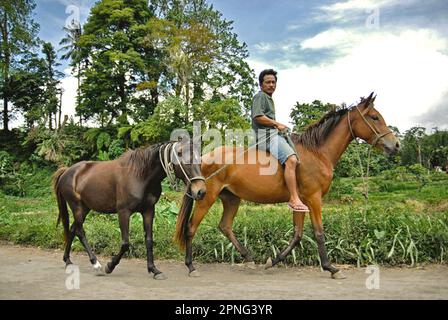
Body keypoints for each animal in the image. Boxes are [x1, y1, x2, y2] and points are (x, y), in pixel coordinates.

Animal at [53, 139, 206, 278]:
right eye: (183, 157)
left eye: (199, 159)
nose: (201, 191)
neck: (140, 175)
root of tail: (67, 171)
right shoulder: (123, 212)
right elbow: (125, 243)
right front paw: (110, 266)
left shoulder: (148, 210)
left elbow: (149, 240)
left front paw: (154, 270)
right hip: (77, 207)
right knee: (80, 232)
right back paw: (96, 264)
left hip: (85, 208)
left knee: (73, 229)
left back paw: (68, 261)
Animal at [174, 92, 400, 278]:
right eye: (374, 117)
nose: (396, 144)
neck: (317, 152)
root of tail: (203, 158)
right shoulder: (314, 198)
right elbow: (319, 232)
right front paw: (330, 268)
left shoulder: (300, 203)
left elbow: (297, 235)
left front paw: (272, 261)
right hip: (207, 196)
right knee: (191, 228)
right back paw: (191, 266)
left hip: (231, 198)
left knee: (224, 226)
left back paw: (249, 257)